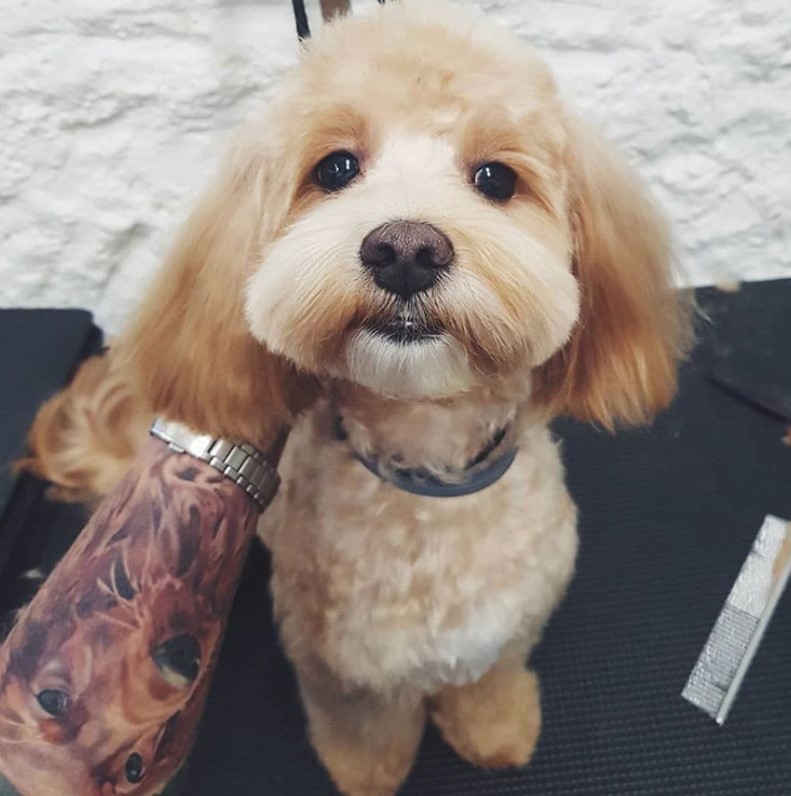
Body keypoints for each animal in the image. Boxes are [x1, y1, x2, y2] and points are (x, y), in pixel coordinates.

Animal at [18, 3, 688, 792]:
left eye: (495, 178)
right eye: (335, 168)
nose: (405, 249)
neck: (429, 480)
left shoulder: (510, 624)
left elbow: (487, 681)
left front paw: (496, 734)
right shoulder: (338, 666)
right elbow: (365, 728)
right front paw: (366, 774)